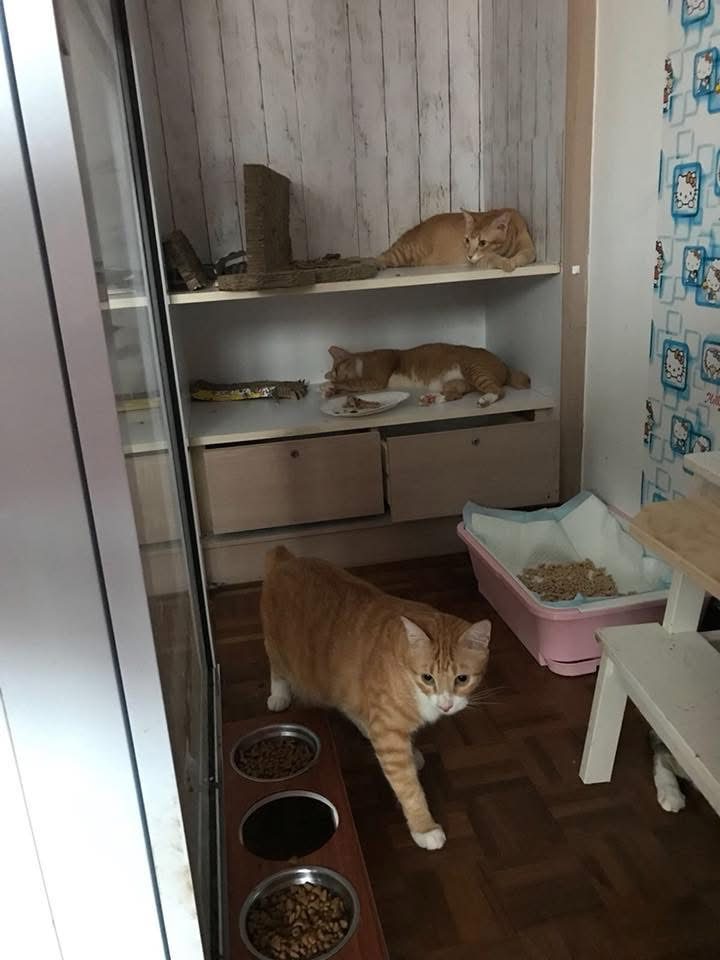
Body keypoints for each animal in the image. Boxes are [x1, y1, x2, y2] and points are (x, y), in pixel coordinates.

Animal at [261, 546, 491, 850]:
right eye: (427, 677)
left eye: (462, 679)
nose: (446, 705)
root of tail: (287, 559)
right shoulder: (389, 736)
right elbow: (409, 789)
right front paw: (424, 828)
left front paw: (413, 751)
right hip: (279, 652)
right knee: (276, 668)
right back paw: (278, 695)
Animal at [323, 342, 531, 407]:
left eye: (337, 370)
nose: (333, 377)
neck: (363, 359)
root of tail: (505, 364)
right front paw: (330, 391)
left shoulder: (375, 379)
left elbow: (354, 383)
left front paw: (328, 387)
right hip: (457, 382)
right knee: (454, 395)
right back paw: (432, 399)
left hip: (473, 368)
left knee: (498, 391)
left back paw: (486, 399)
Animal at [377, 209, 536, 272]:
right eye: (467, 240)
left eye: (482, 243)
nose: (469, 255)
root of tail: (417, 227)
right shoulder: (479, 261)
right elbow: (493, 258)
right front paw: (505, 263)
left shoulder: (529, 248)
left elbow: (524, 255)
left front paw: (513, 261)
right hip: (407, 252)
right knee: (381, 256)